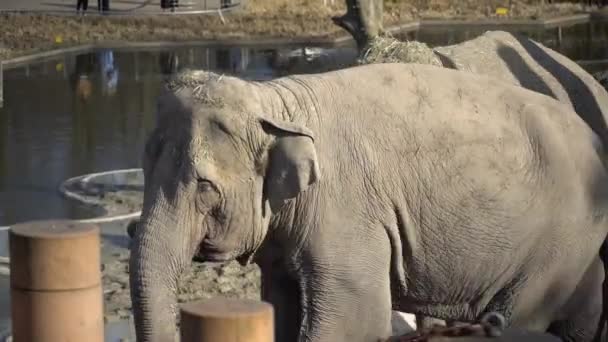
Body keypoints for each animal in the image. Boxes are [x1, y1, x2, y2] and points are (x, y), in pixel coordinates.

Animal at [129, 62, 608, 342]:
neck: (274, 101)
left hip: (558, 241)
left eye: (204, 186)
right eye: (143, 168)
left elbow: (352, 322)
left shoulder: (347, 214)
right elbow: (281, 306)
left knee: (526, 316)